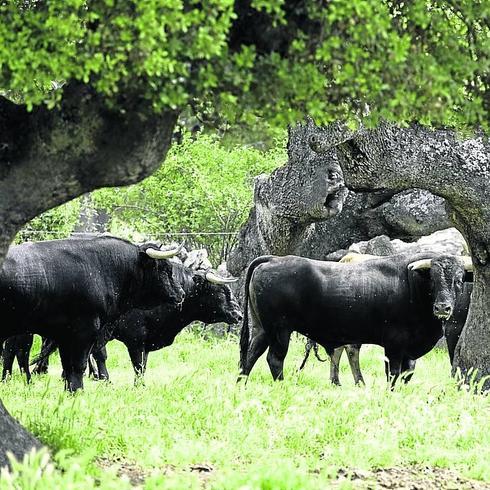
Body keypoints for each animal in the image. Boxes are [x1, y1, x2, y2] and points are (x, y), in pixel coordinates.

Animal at [0, 235, 184, 392]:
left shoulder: (65, 336)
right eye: (164, 269)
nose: (181, 293)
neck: (103, 269)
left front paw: (70, 391)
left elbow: (68, 366)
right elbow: (78, 365)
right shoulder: (85, 332)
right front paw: (78, 391)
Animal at [239, 253, 472, 386]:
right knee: (274, 359)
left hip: (262, 329)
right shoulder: (394, 346)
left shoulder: (408, 352)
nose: (443, 307)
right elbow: (393, 374)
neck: (413, 285)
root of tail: (273, 259)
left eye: (459, 279)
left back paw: (241, 385)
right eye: (433, 279)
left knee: (250, 356)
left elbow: (407, 374)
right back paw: (282, 386)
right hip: (280, 331)